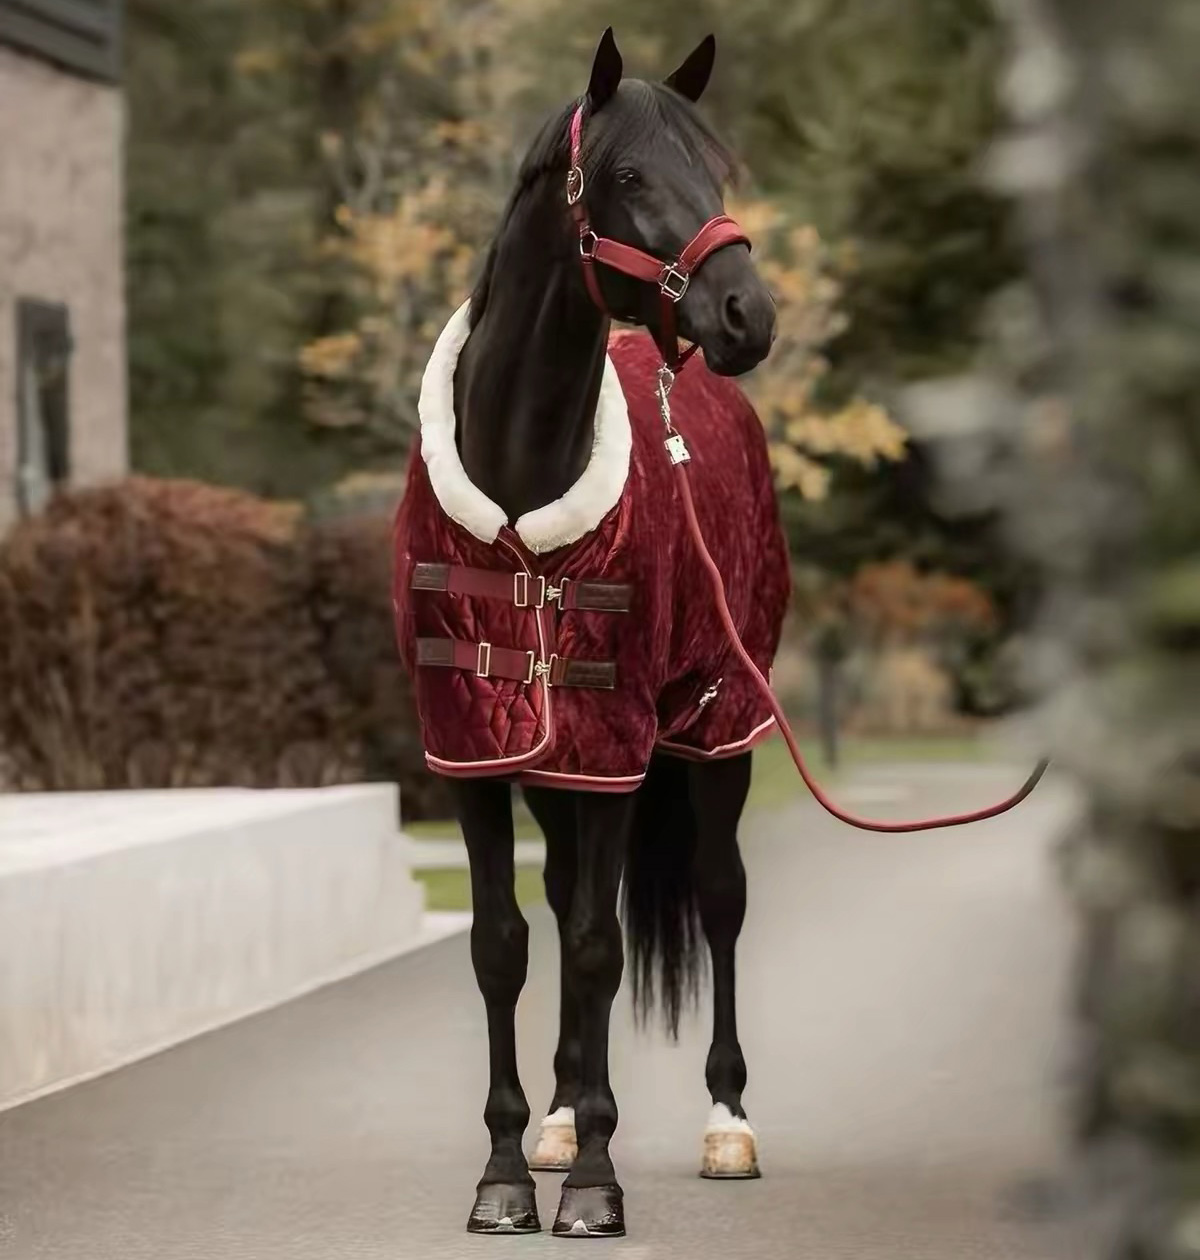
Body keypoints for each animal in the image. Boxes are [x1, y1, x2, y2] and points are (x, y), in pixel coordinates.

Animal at [392, 28, 786, 1239]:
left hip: (719, 725)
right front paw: (509, 1172)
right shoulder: (473, 753)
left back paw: (728, 1124)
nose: (749, 314)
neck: (523, 487)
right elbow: (506, 946)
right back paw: (563, 1119)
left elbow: (600, 949)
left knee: (717, 900)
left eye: (718, 168)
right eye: (626, 174)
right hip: (559, 769)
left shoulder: (615, 750)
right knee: (567, 900)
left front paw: (598, 1188)